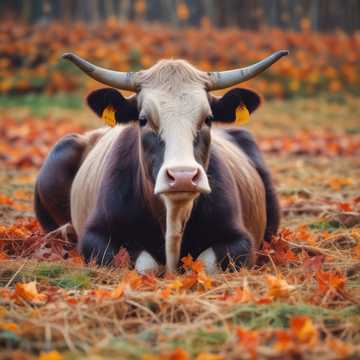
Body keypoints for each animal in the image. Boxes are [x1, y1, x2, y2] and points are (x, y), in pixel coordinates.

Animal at [33, 49, 286, 272]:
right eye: (143, 119)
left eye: (208, 119)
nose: (183, 177)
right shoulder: (95, 237)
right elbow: (146, 265)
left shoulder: (242, 241)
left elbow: (205, 263)